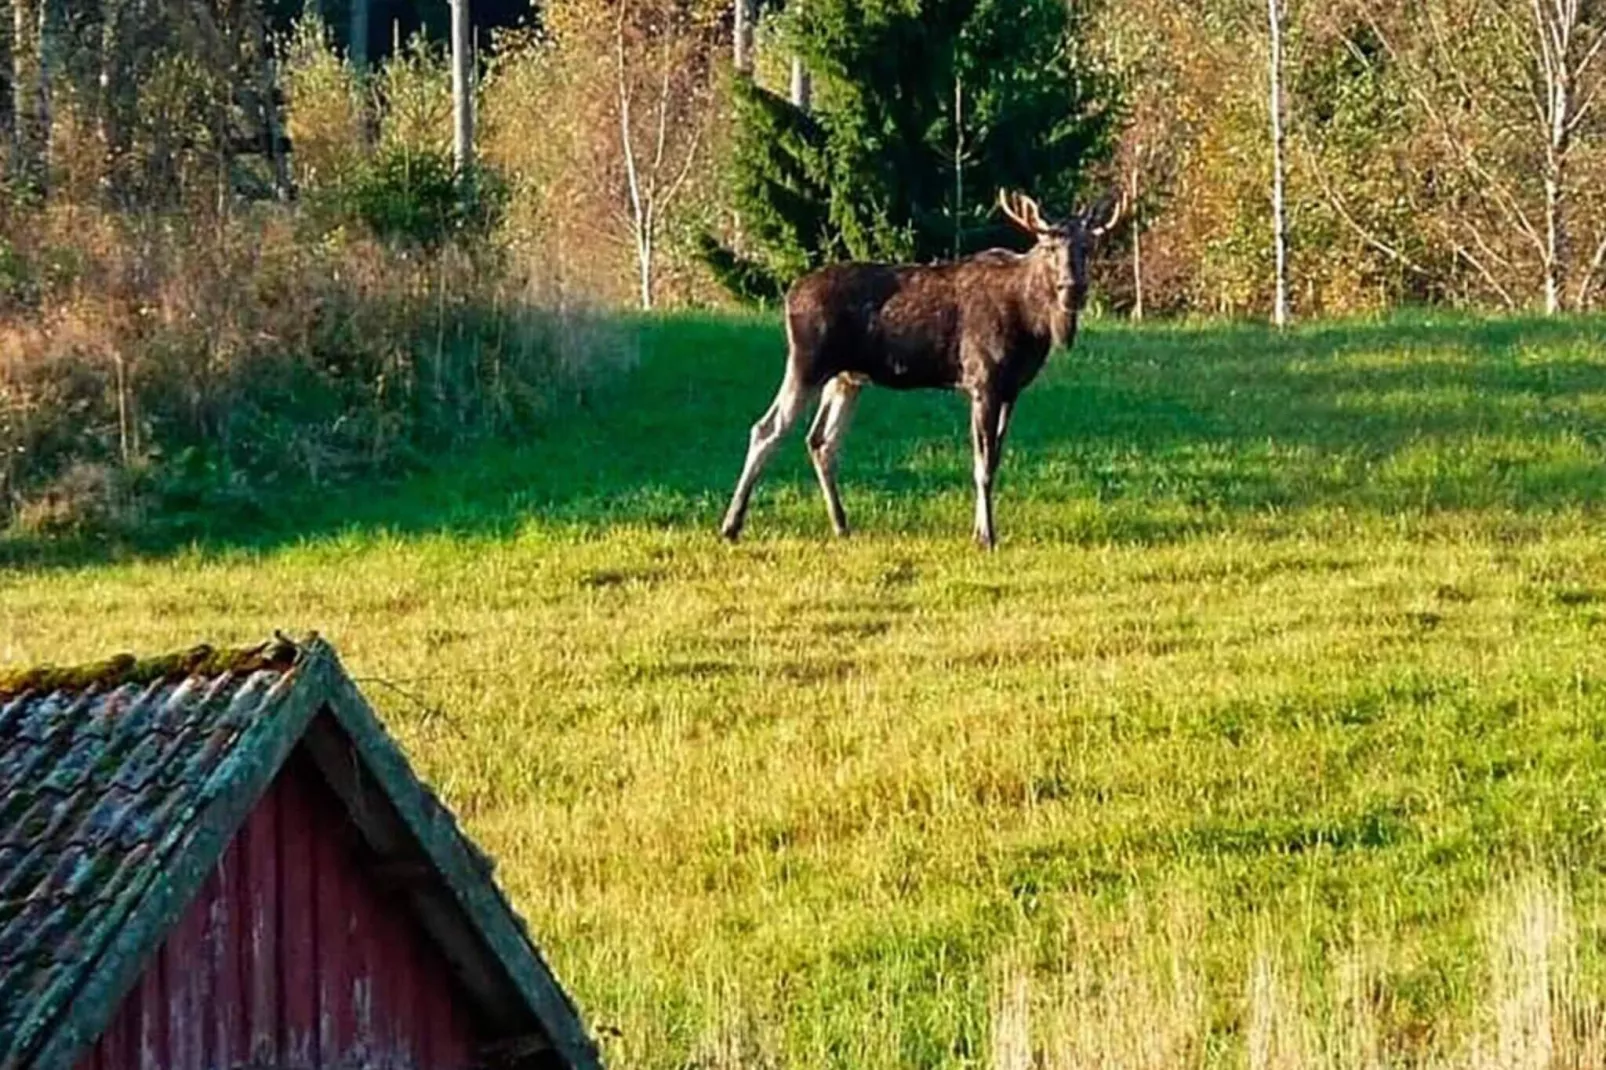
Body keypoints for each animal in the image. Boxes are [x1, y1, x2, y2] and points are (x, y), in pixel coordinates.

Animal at [722, 186, 1124, 546]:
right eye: (1049, 247)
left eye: (1087, 247)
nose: (1073, 287)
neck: (1032, 324)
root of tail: (790, 294)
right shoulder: (982, 380)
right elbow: (981, 465)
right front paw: (986, 536)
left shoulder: (1012, 389)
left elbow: (993, 461)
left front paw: (980, 530)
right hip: (807, 361)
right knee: (767, 428)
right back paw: (731, 526)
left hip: (846, 377)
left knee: (821, 440)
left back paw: (841, 525)